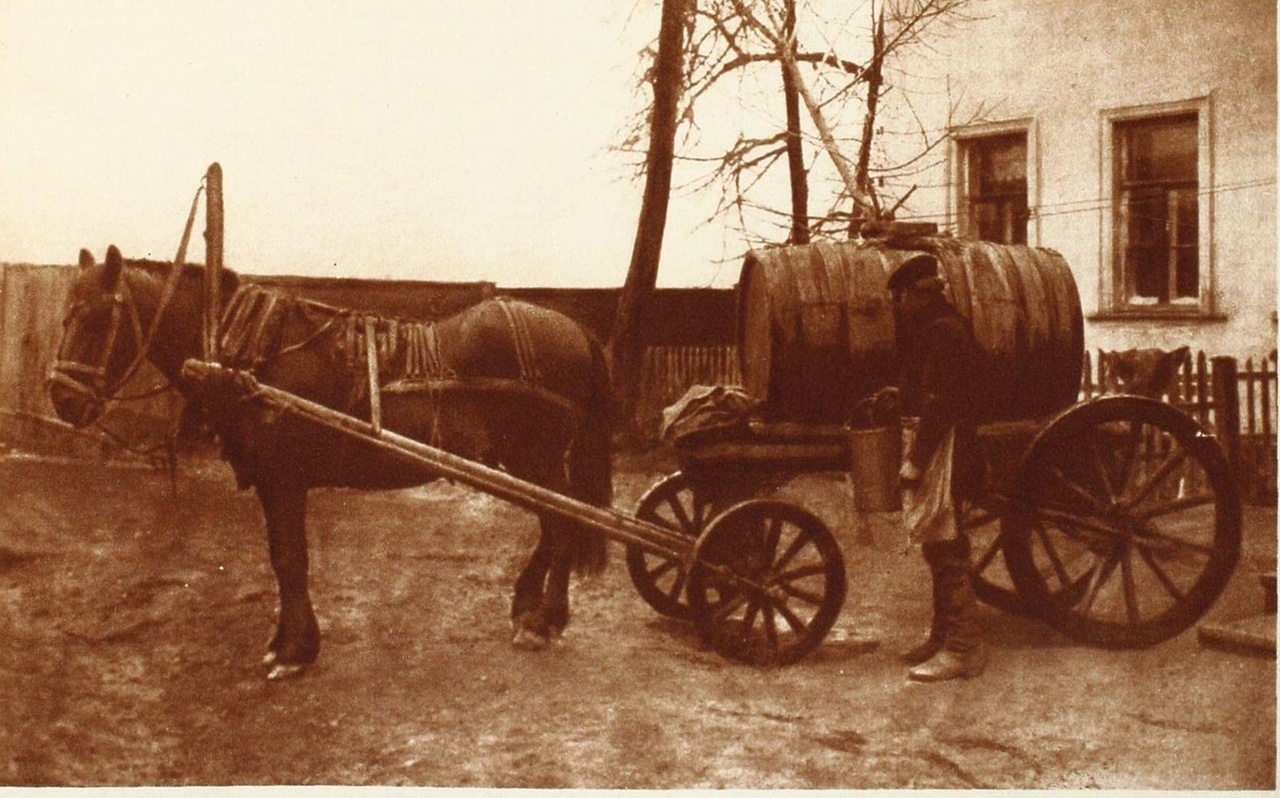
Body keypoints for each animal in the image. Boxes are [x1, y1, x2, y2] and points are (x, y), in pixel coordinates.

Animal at [55, 244, 619, 681]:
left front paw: (294, 652)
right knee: (556, 526)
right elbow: (280, 559)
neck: (247, 354)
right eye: (65, 314)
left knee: (564, 524)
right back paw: (531, 611)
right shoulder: (272, 483)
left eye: (98, 317)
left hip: (536, 460)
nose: (61, 399)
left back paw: (542, 621)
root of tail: (577, 329)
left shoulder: (284, 479)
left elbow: (291, 560)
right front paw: (285, 643)